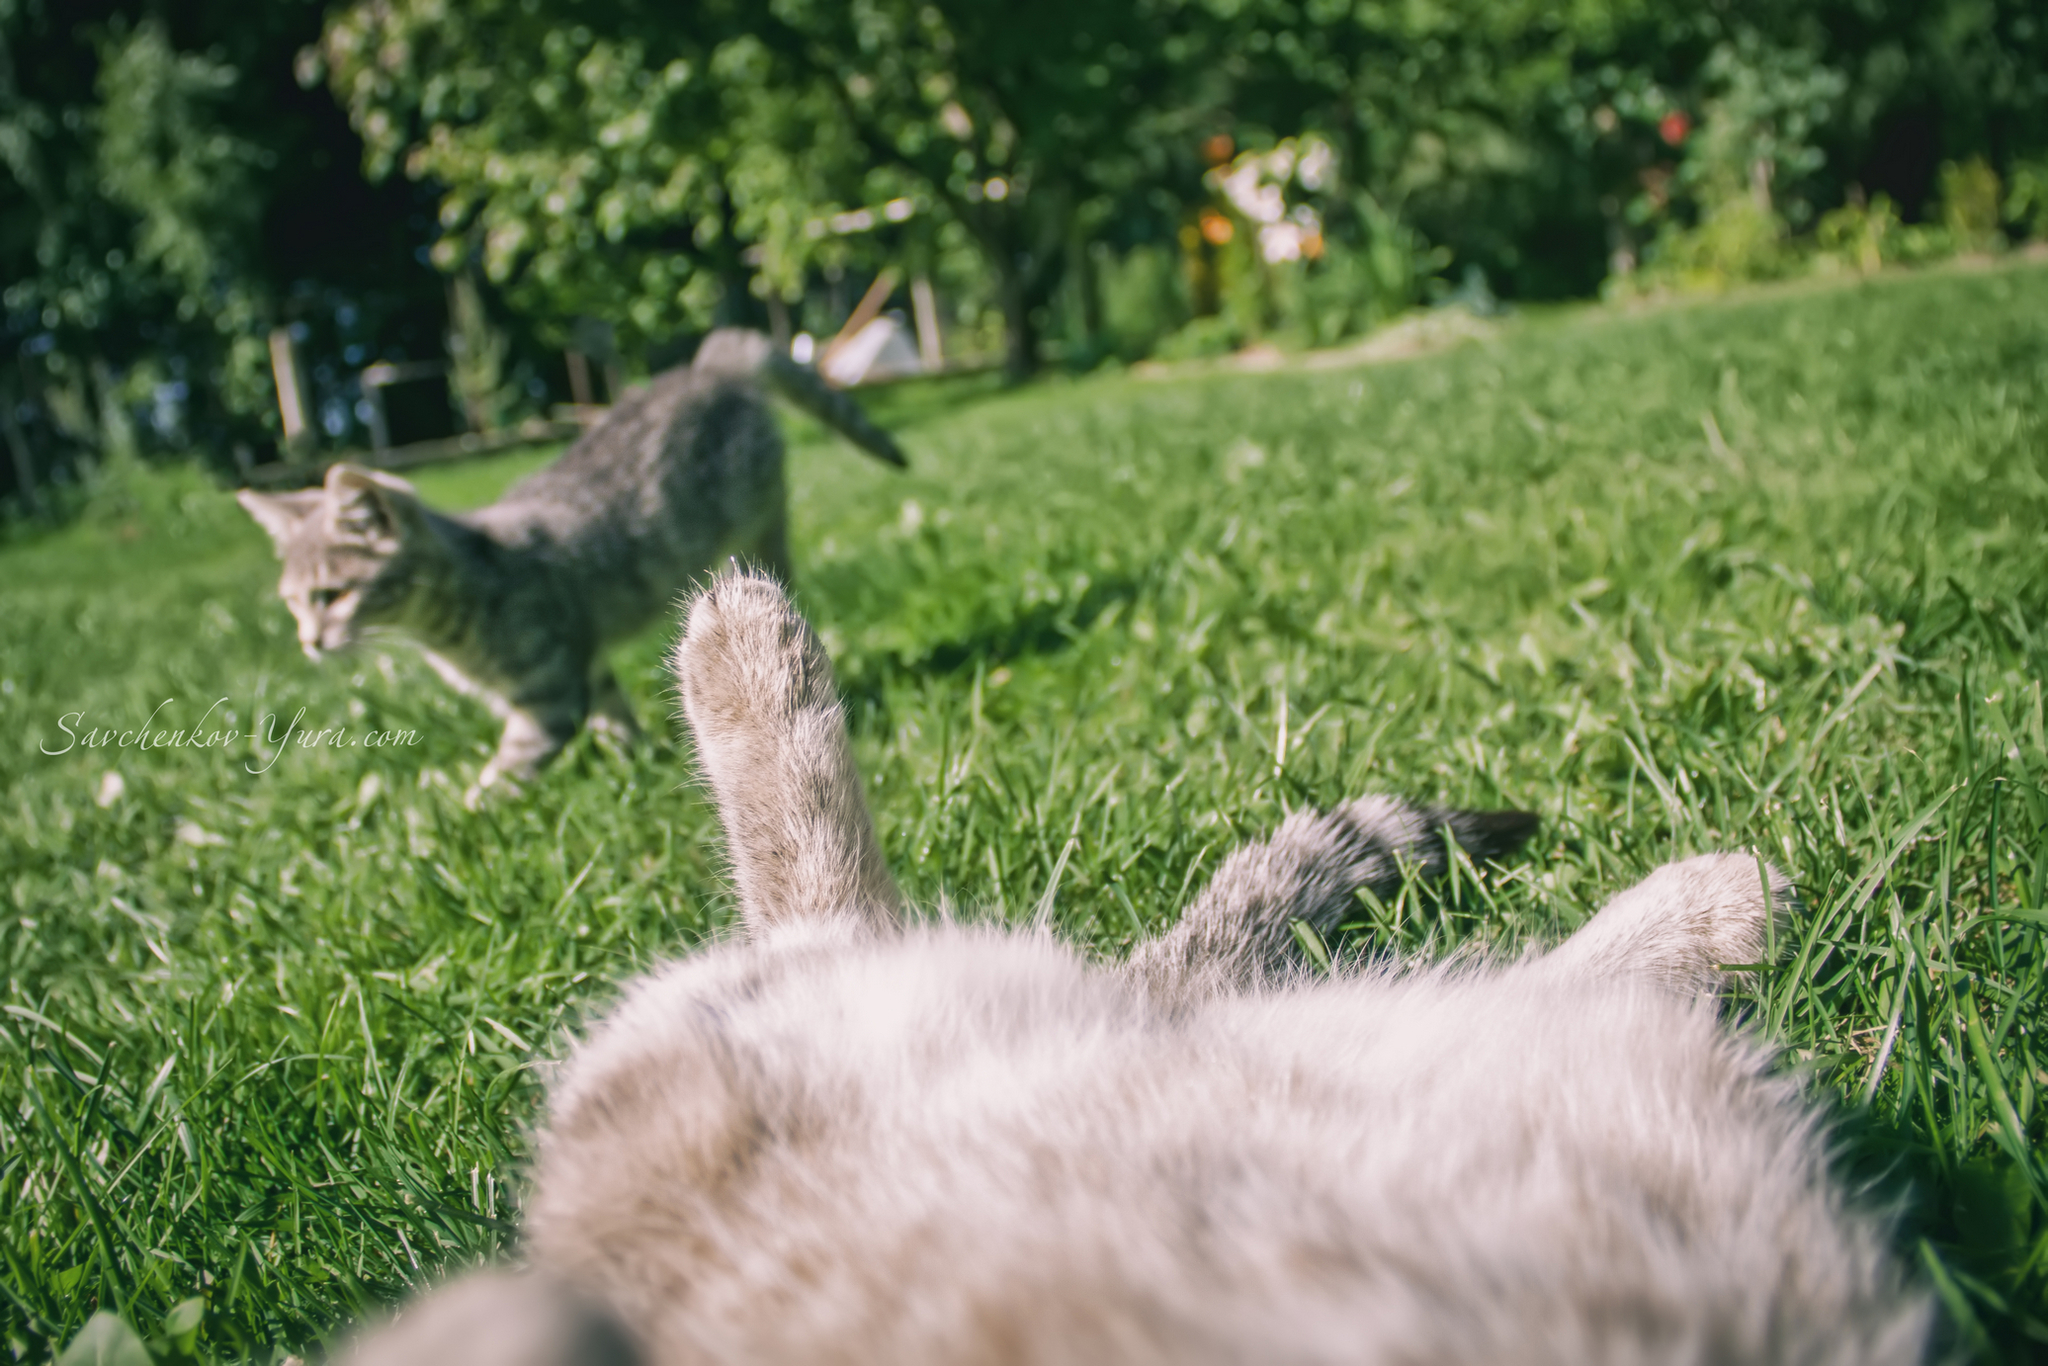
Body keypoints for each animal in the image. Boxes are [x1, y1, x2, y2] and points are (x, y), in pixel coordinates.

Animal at [235, 331, 901, 802]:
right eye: (293, 602)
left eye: (331, 595)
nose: (309, 642)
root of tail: (705, 365)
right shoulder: (584, 666)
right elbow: (614, 715)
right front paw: (639, 761)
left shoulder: (549, 697)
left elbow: (498, 781)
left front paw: (439, 828)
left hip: (758, 513)